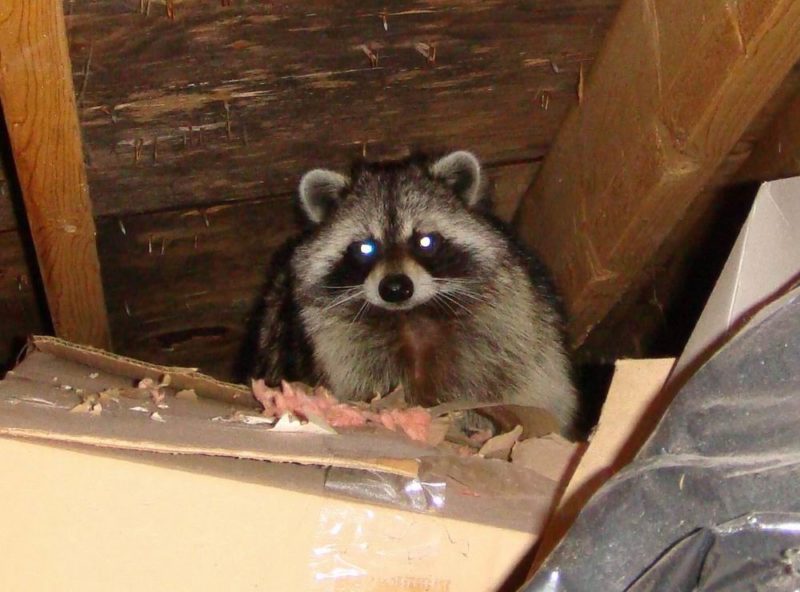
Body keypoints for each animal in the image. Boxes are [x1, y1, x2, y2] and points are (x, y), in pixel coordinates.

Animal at [251, 151, 578, 433]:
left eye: (425, 241)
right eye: (366, 248)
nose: (395, 288)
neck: (411, 317)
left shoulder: (507, 317)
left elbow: (499, 379)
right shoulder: (334, 339)